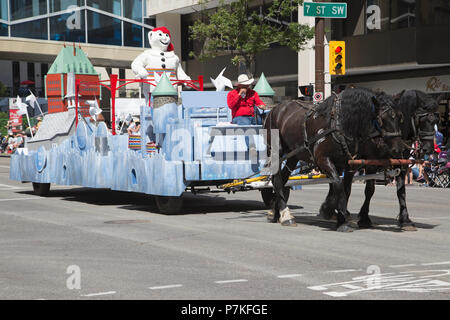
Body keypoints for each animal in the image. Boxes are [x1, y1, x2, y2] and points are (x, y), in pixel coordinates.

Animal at [262, 87, 402, 232]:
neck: (341, 124)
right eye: (381, 119)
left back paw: (276, 212)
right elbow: (338, 185)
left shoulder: (348, 164)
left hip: (293, 155)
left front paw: (338, 216)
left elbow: (345, 189)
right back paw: (286, 215)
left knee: (282, 179)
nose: (398, 149)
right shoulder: (323, 160)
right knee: (277, 180)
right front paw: (335, 214)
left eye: (400, 116)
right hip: (276, 152)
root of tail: (274, 109)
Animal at [342, 89, 440, 230]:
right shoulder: (371, 163)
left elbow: (401, 190)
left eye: (436, 120)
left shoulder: (401, 164)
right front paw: (364, 218)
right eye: (422, 119)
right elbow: (370, 190)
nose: (428, 148)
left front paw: (405, 220)